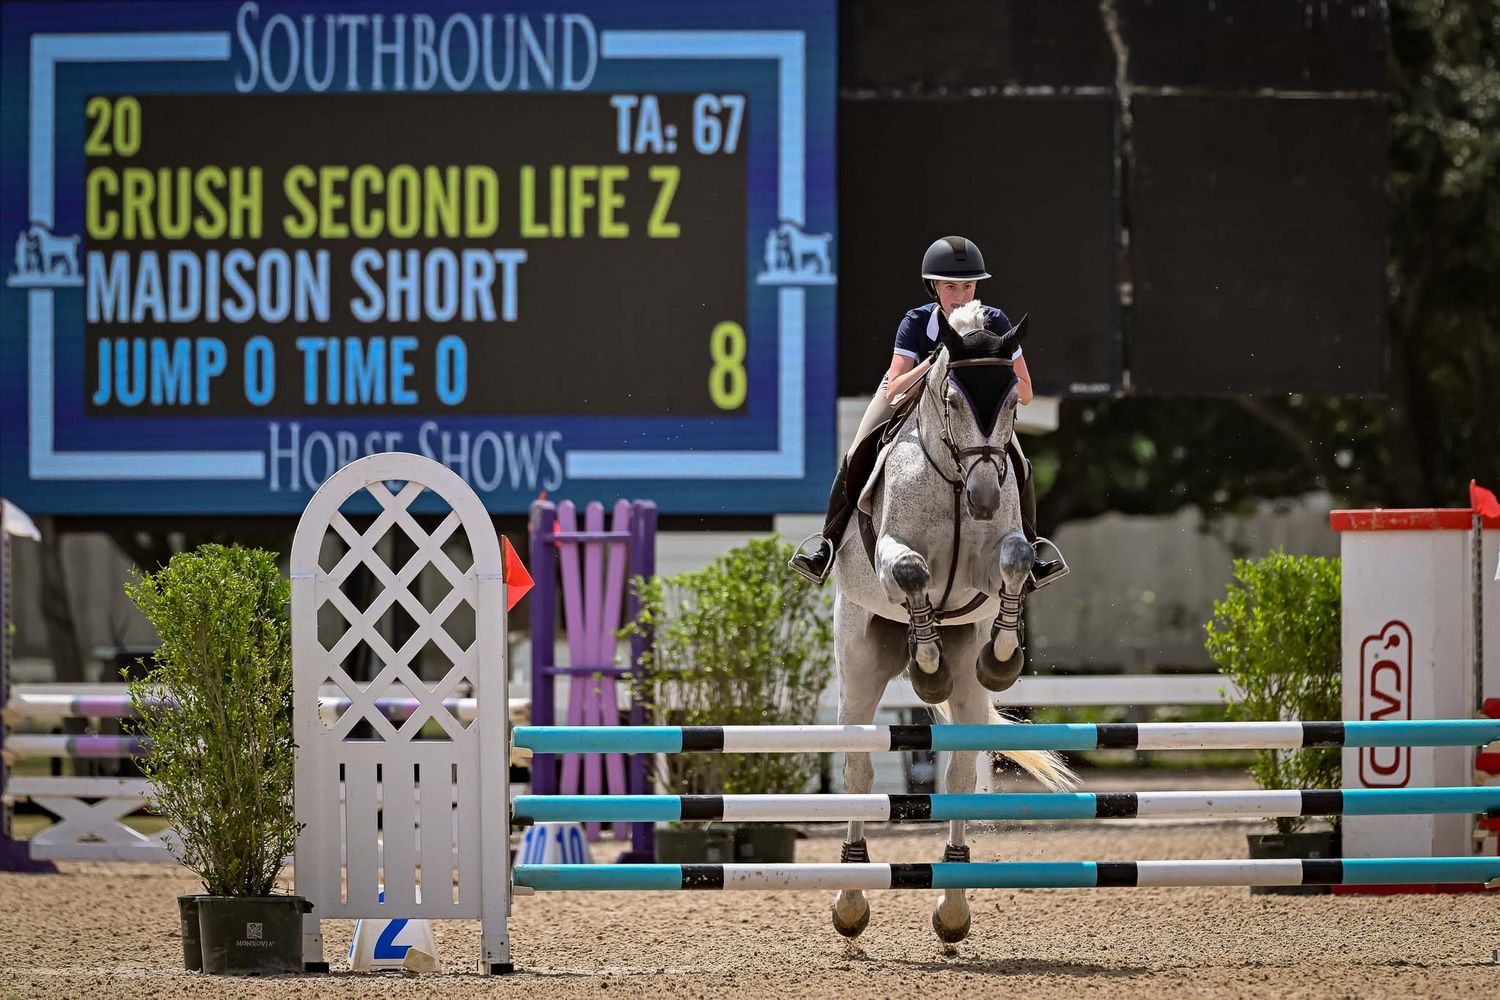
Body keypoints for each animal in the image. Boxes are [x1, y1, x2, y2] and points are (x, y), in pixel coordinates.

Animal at [828, 300, 1075, 943]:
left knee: (961, 773)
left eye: (1012, 401)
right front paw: (927, 663)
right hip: (858, 667)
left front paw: (1003, 657)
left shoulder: (987, 570)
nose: (985, 498)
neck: (955, 480)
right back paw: (850, 902)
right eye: (955, 401)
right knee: (859, 770)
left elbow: (1015, 561)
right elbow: (912, 572)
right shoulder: (894, 557)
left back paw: (953, 909)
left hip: (964, 688)